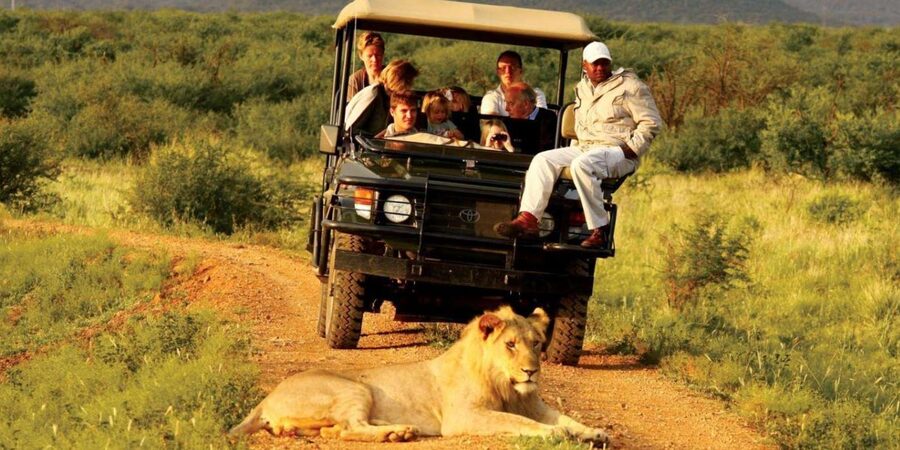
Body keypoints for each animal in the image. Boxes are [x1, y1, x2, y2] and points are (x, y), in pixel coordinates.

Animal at [228, 306, 609, 445]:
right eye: (511, 345)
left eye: (537, 343)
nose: (532, 371)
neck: (508, 387)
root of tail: (266, 398)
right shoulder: (463, 417)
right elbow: (521, 423)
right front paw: (556, 434)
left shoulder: (535, 405)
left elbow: (567, 418)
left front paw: (594, 432)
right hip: (355, 389)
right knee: (350, 428)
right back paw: (396, 433)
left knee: (336, 430)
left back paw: (399, 430)